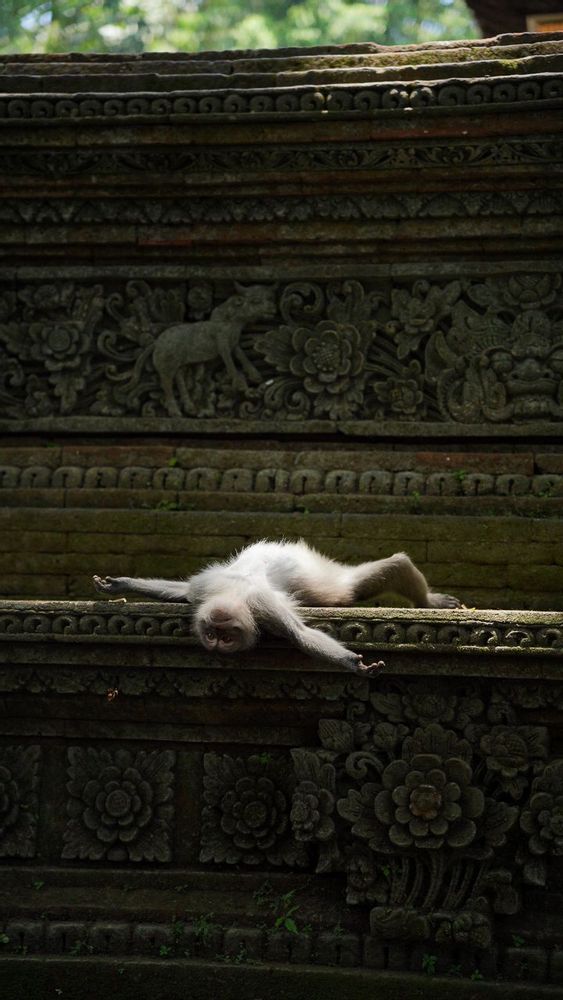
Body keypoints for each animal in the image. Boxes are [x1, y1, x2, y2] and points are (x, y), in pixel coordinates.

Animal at [93, 540, 460, 676]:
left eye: (226, 637)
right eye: (210, 633)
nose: (216, 644)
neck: (235, 591)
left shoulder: (265, 608)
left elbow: (299, 634)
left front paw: (353, 664)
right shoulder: (203, 592)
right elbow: (182, 591)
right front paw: (122, 585)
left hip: (329, 580)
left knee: (388, 569)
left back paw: (428, 602)